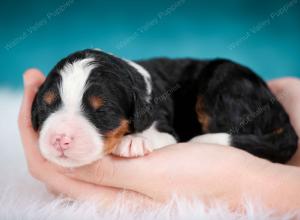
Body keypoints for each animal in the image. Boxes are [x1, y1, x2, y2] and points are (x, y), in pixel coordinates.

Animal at [30, 49, 298, 168]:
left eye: (102, 111)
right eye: (46, 106)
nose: (60, 139)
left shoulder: (166, 127)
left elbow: (158, 134)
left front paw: (134, 141)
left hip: (223, 81)